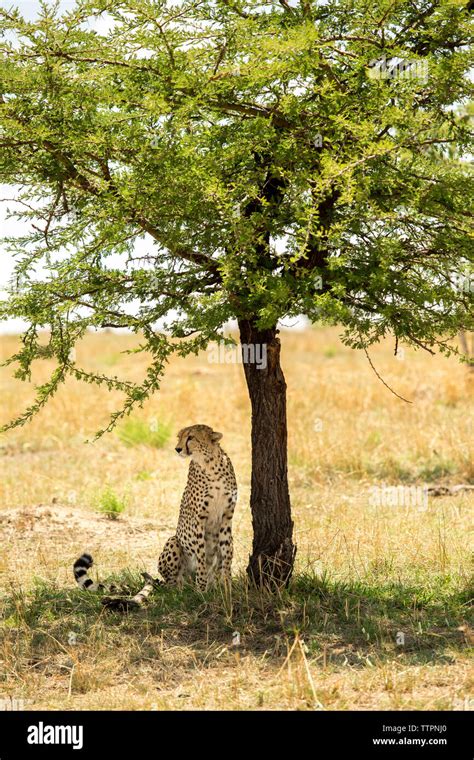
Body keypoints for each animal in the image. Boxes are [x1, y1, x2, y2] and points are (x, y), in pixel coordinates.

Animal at [73, 424, 237, 608]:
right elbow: (201, 558)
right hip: (174, 541)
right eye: (180, 437)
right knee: (173, 584)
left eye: (191, 437)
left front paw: (226, 588)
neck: (210, 463)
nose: (177, 449)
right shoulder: (198, 520)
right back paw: (181, 590)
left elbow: (226, 555)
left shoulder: (226, 518)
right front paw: (202, 591)